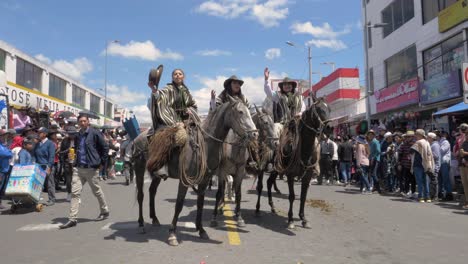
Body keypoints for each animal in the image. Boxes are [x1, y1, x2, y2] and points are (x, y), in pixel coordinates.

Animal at [132, 96, 258, 246]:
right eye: (240, 112)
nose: (255, 134)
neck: (205, 143)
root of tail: (137, 138)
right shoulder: (185, 181)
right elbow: (179, 204)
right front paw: (172, 234)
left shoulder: (204, 180)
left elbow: (200, 204)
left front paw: (201, 230)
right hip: (139, 169)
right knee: (141, 195)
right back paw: (141, 224)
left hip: (156, 175)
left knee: (152, 191)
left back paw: (155, 219)